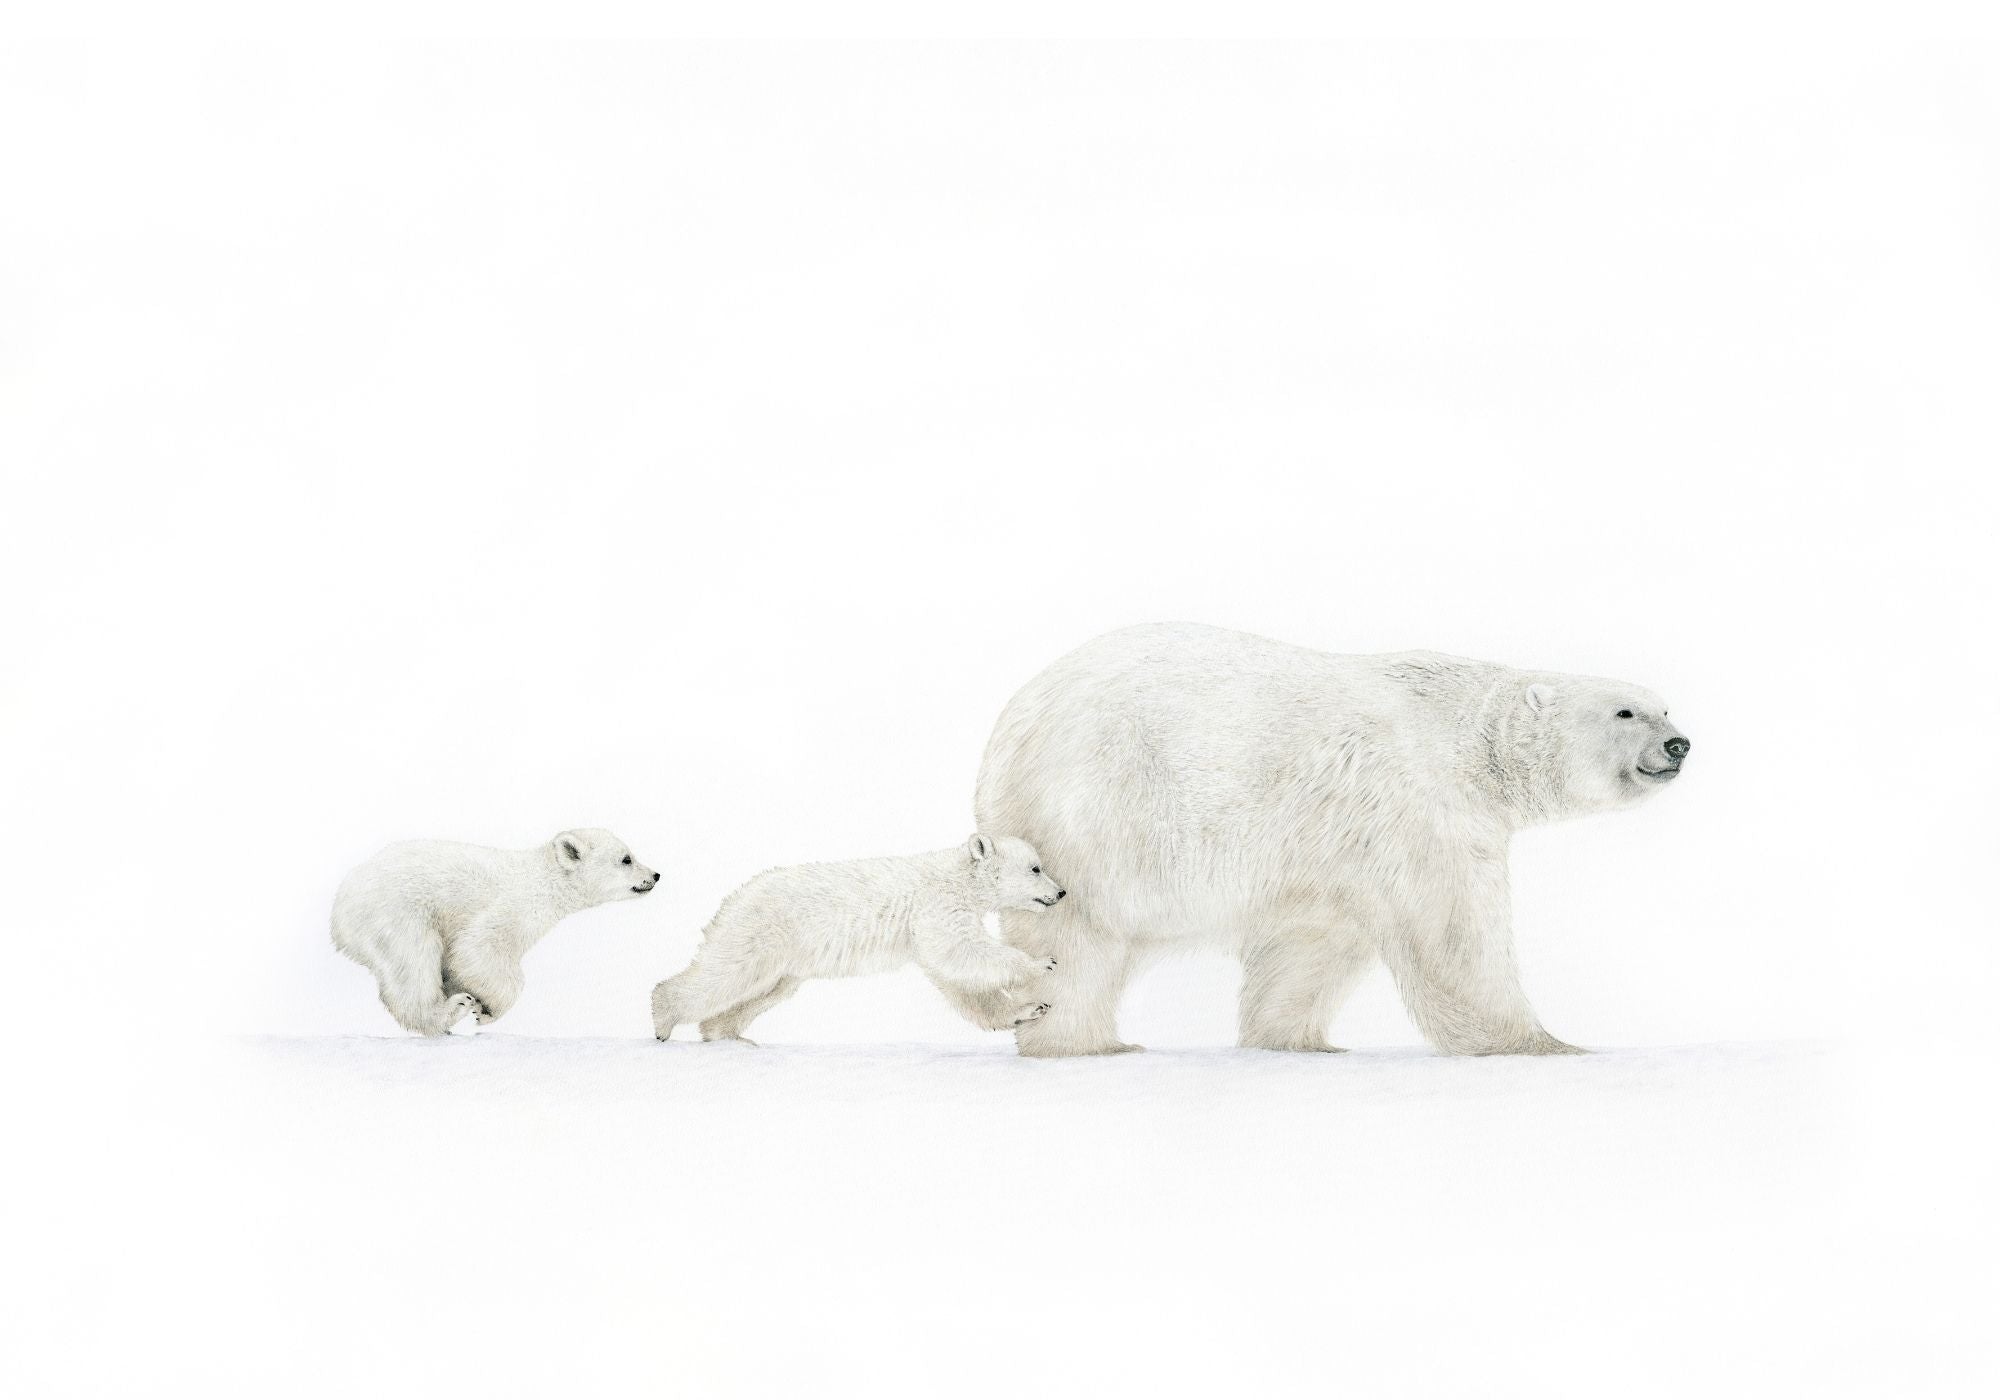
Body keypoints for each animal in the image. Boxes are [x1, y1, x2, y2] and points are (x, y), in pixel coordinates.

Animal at [332, 828, 660, 1035]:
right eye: (626, 858)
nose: (655, 875)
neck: (545, 881)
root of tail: (339, 912)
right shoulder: (512, 907)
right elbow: (475, 949)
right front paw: (485, 1012)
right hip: (397, 913)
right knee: (414, 962)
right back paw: (449, 1012)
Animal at [650, 834, 1067, 1044]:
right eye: (1036, 868)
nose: (1061, 892)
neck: (959, 876)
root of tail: (734, 896)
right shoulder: (936, 905)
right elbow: (959, 951)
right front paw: (1042, 963)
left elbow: (957, 975)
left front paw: (1030, 1009)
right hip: (762, 930)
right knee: (726, 974)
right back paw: (663, 1020)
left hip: (786, 958)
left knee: (765, 990)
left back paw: (728, 1036)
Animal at [973, 622, 1692, 1057]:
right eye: (1625, 711)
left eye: (1665, 707)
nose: (1678, 744)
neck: (1466, 736)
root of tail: (1011, 725)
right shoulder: (1419, 803)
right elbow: (1456, 933)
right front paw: (1547, 1043)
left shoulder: (1331, 845)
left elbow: (1314, 944)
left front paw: (1298, 1040)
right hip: (1094, 819)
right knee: (1074, 944)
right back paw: (1084, 1042)